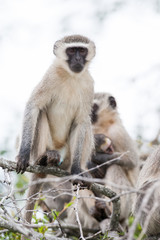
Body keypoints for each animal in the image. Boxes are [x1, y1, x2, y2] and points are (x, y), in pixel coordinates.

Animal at [15, 34, 96, 223]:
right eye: (71, 51)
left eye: (82, 51)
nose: (78, 59)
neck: (71, 76)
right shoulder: (50, 76)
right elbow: (34, 106)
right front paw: (23, 154)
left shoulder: (89, 84)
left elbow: (81, 121)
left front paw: (76, 170)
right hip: (46, 145)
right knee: (41, 113)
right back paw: (43, 159)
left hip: (67, 153)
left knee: (86, 124)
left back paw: (79, 169)